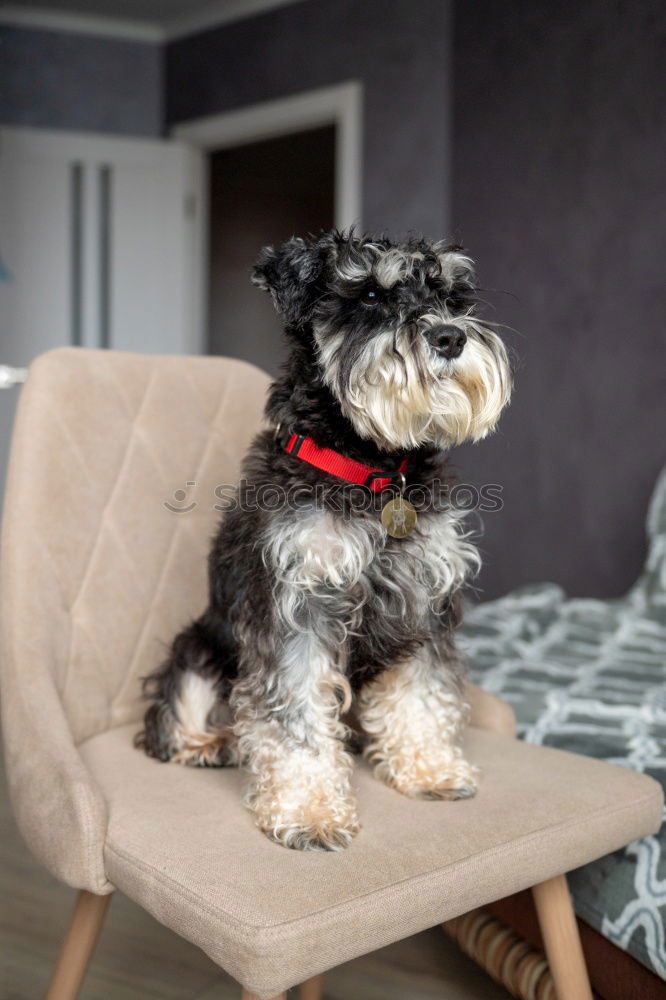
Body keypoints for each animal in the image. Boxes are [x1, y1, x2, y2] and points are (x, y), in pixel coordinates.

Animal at [134, 229, 508, 852]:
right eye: (372, 295)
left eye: (453, 297)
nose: (450, 337)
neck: (375, 469)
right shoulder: (298, 608)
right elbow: (296, 717)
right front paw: (309, 812)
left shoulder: (422, 604)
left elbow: (422, 693)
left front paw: (429, 768)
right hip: (196, 649)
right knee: (177, 718)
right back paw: (213, 743)